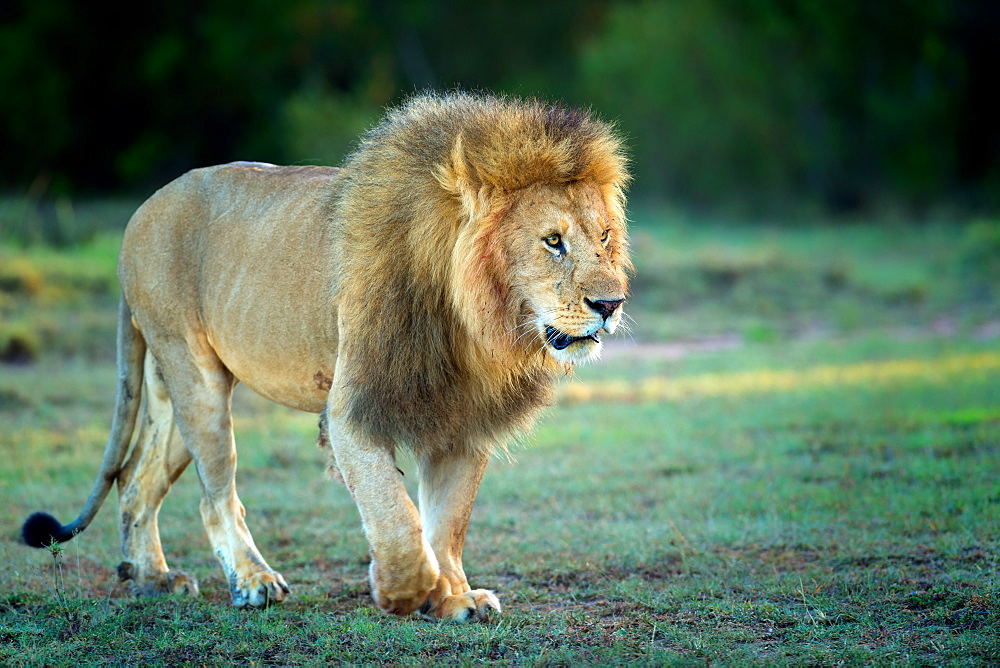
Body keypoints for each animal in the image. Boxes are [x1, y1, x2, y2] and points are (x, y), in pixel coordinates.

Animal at [19, 91, 628, 624]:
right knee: (216, 495)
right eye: (552, 241)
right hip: (194, 373)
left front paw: (454, 597)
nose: (610, 304)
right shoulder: (350, 410)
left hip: (168, 388)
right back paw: (254, 582)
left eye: (604, 237)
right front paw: (404, 591)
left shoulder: (464, 419)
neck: (476, 325)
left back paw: (152, 578)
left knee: (135, 482)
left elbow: (447, 522)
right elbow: (397, 516)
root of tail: (142, 211)